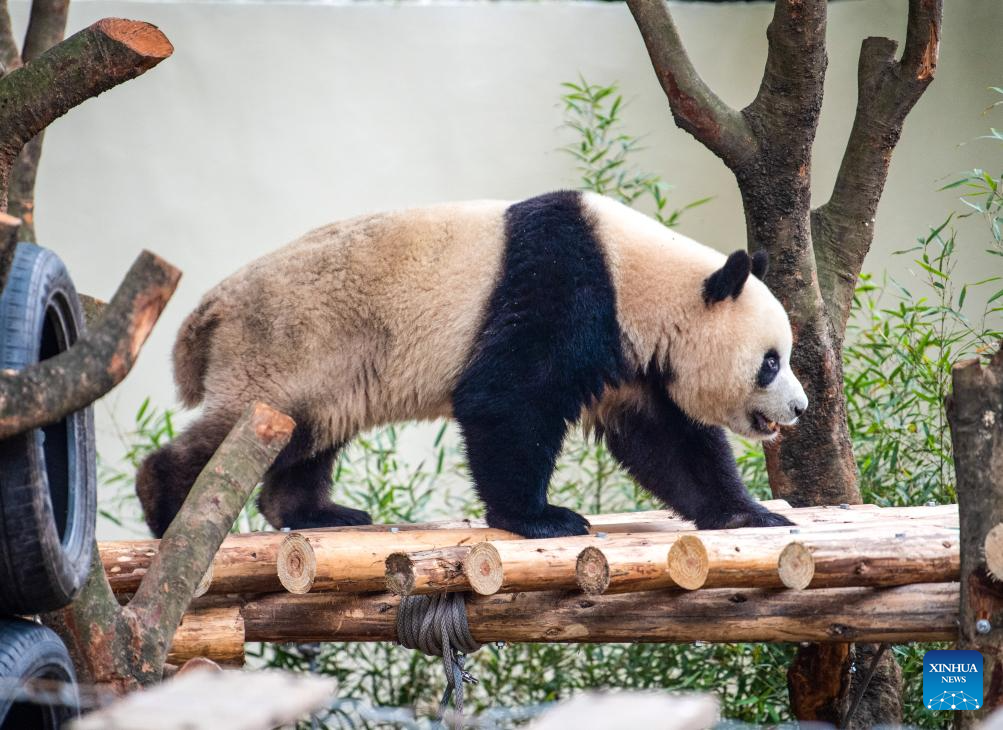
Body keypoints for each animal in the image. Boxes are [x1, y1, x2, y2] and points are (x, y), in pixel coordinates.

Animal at [136, 190, 808, 539]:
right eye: (771, 363)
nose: (800, 408)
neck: (640, 277)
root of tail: (208, 312)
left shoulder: (630, 358)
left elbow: (668, 442)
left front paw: (750, 514)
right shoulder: (564, 288)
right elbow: (508, 400)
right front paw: (542, 519)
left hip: (324, 370)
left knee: (305, 436)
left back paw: (315, 513)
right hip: (285, 343)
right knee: (237, 433)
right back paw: (169, 505)